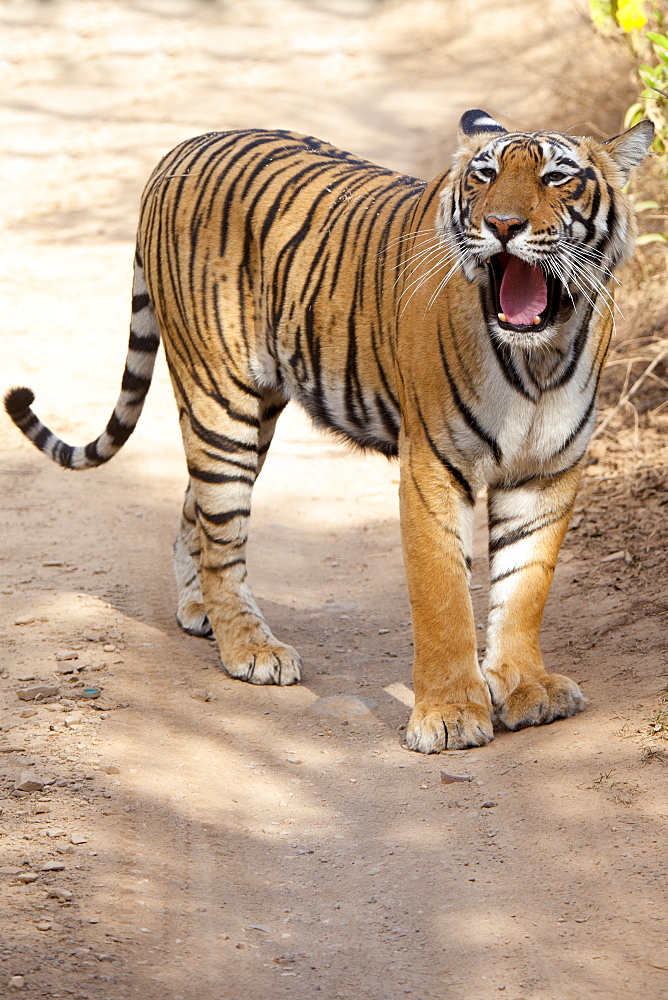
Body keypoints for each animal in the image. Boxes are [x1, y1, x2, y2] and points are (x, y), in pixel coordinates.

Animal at [5, 109, 652, 752]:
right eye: (484, 176)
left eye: (557, 177)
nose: (501, 224)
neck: (538, 357)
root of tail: (184, 145)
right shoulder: (433, 467)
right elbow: (443, 597)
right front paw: (448, 715)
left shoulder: (548, 471)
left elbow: (524, 588)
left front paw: (525, 688)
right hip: (220, 399)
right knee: (223, 531)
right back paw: (249, 648)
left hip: (253, 409)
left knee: (198, 509)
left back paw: (199, 610)